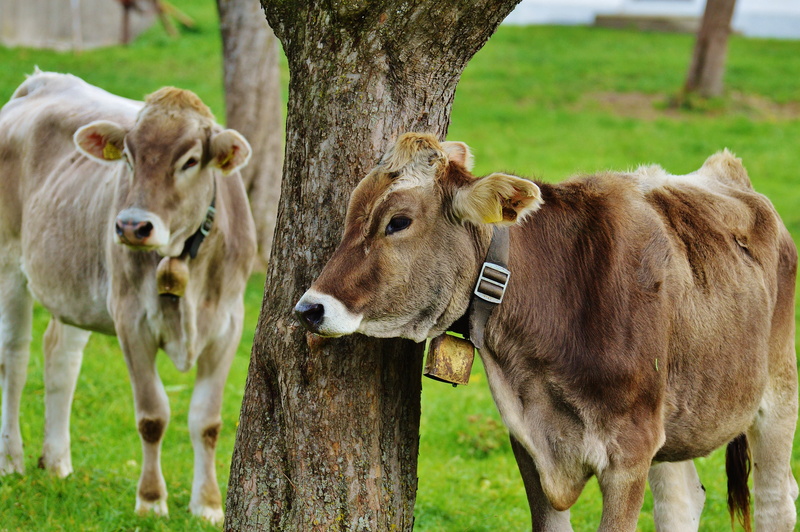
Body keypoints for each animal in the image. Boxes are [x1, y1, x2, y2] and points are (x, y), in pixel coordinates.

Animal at [0, 71, 256, 523]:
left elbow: (206, 421)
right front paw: (151, 501)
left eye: (190, 160)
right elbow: (153, 415)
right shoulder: (131, 320)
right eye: (129, 157)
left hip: (75, 285)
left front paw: (208, 505)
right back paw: (12, 459)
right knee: (13, 357)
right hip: (10, 264)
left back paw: (58, 463)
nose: (132, 226)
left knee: (61, 357)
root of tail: (41, 80)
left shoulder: (228, 324)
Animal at [294, 132, 798, 531]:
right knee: (682, 503)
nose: (309, 308)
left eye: (398, 222)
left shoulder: (629, 451)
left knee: (776, 500)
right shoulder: (531, 445)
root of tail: (727, 171)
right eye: (350, 214)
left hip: (777, 389)